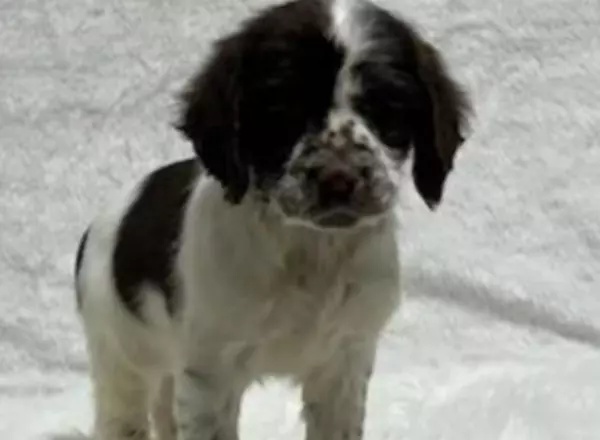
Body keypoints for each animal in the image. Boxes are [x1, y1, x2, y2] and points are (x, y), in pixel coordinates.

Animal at [74, 0, 468, 440]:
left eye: (387, 112)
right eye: (281, 112)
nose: (339, 178)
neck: (310, 250)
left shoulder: (344, 362)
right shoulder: (211, 373)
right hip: (120, 353)